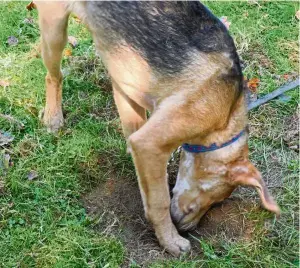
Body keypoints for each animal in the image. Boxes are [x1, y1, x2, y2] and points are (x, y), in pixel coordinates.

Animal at [35, 1, 282, 255]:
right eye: (212, 195)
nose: (187, 229)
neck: (225, 117)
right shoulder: (149, 144)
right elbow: (159, 200)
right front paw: (170, 239)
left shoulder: (126, 92)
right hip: (54, 30)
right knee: (53, 76)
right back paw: (53, 116)